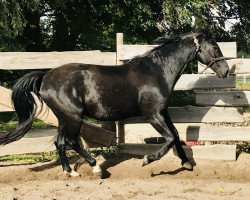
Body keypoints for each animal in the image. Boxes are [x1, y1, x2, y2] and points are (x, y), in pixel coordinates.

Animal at [0, 31, 230, 177]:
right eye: (215, 47)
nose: (226, 71)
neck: (156, 72)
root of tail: (45, 77)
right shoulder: (152, 114)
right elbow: (169, 138)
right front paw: (147, 159)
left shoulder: (163, 112)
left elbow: (175, 134)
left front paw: (186, 162)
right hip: (73, 117)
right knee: (70, 141)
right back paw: (94, 167)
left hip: (64, 118)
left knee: (60, 142)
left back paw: (70, 171)